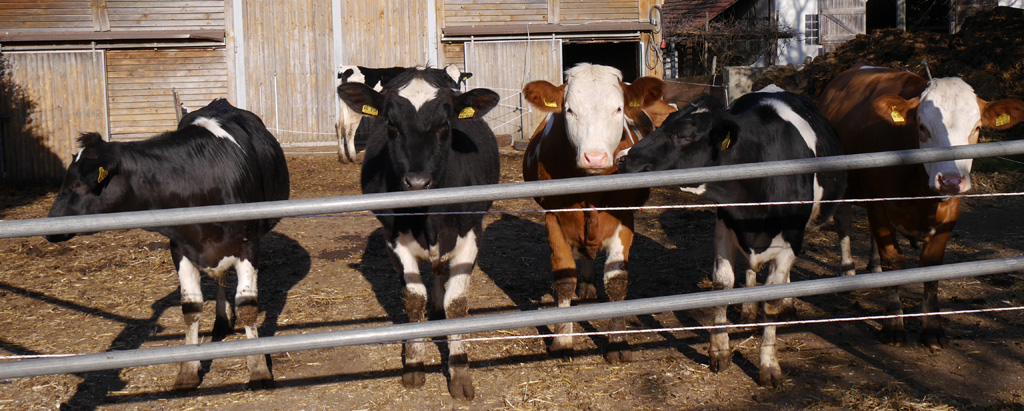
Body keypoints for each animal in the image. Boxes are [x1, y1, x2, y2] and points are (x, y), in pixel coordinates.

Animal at [44, 97, 290, 389]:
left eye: (77, 183)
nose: (49, 226)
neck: (201, 180)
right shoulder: (180, 248)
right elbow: (191, 308)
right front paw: (187, 371)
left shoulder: (248, 246)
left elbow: (248, 308)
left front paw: (258, 368)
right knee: (219, 278)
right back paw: (221, 321)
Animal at [335, 66, 499, 397]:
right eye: (391, 123)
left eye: (445, 123)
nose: (418, 182)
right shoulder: (392, 237)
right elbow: (413, 299)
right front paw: (413, 363)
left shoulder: (472, 232)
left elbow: (457, 303)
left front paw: (460, 372)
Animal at [520, 62, 671, 360]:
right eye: (569, 110)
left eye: (618, 109)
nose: (596, 157)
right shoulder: (554, 218)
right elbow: (565, 280)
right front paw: (562, 341)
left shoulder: (624, 217)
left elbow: (616, 281)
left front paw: (617, 343)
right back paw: (587, 284)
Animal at [614, 87, 847, 387]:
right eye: (664, 123)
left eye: (683, 134)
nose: (622, 157)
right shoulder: (725, 226)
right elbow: (722, 284)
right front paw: (720, 351)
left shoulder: (790, 242)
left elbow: (772, 299)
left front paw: (769, 365)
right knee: (750, 269)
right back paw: (748, 310)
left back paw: (787, 304)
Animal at [819, 65, 1024, 348]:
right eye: (922, 126)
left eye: (977, 128)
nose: (950, 180)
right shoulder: (879, 205)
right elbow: (894, 261)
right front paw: (894, 326)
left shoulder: (950, 212)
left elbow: (930, 267)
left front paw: (933, 329)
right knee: (844, 222)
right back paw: (847, 270)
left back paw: (873, 266)